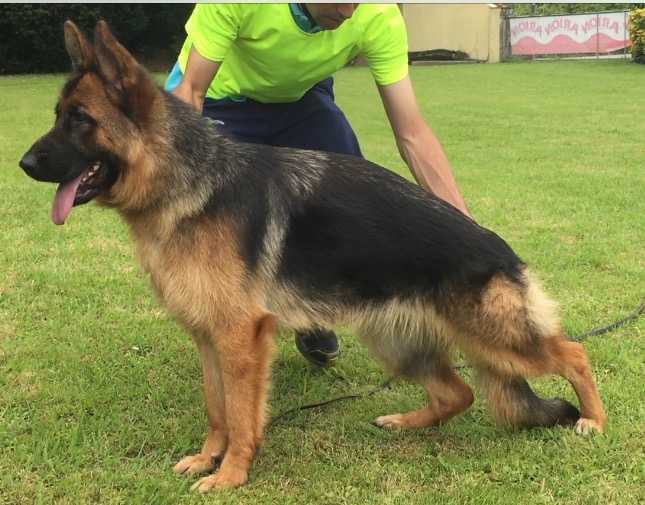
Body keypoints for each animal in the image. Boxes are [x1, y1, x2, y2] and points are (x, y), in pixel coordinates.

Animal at [20, 21, 606, 491]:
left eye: (80, 119)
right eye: (57, 115)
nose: (23, 163)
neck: (189, 182)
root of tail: (498, 249)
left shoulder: (241, 339)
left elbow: (242, 415)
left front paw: (231, 475)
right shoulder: (209, 337)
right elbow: (217, 409)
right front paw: (208, 459)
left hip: (498, 338)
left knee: (573, 353)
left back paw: (594, 421)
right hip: (396, 341)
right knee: (458, 392)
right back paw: (405, 423)